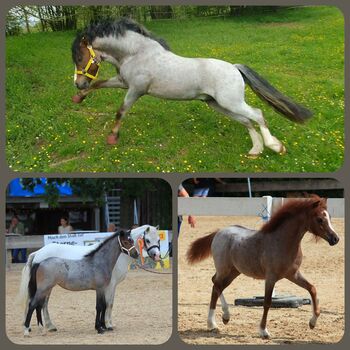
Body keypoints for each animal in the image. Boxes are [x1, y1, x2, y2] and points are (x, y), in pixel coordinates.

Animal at [71, 17, 312, 157]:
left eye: (80, 57)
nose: (78, 83)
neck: (136, 53)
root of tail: (235, 68)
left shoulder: (136, 90)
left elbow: (121, 111)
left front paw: (112, 138)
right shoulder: (123, 83)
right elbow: (100, 84)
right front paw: (79, 98)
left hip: (231, 102)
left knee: (258, 114)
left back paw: (275, 147)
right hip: (218, 105)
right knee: (246, 121)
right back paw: (255, 150)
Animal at [187, 196, 338, 338]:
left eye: (329, 217)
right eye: (319, 219)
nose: (335, 239)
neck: (282, 241)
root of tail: (219, 232)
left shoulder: (293, 274)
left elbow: (312, 288)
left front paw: (312, 323)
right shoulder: (270, 277)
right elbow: (267, 302)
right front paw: (263, 331)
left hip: (234, 272)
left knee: (216, 285)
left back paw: (218, 321)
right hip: (224, 269)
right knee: (216, 285)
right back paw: (219, 320)